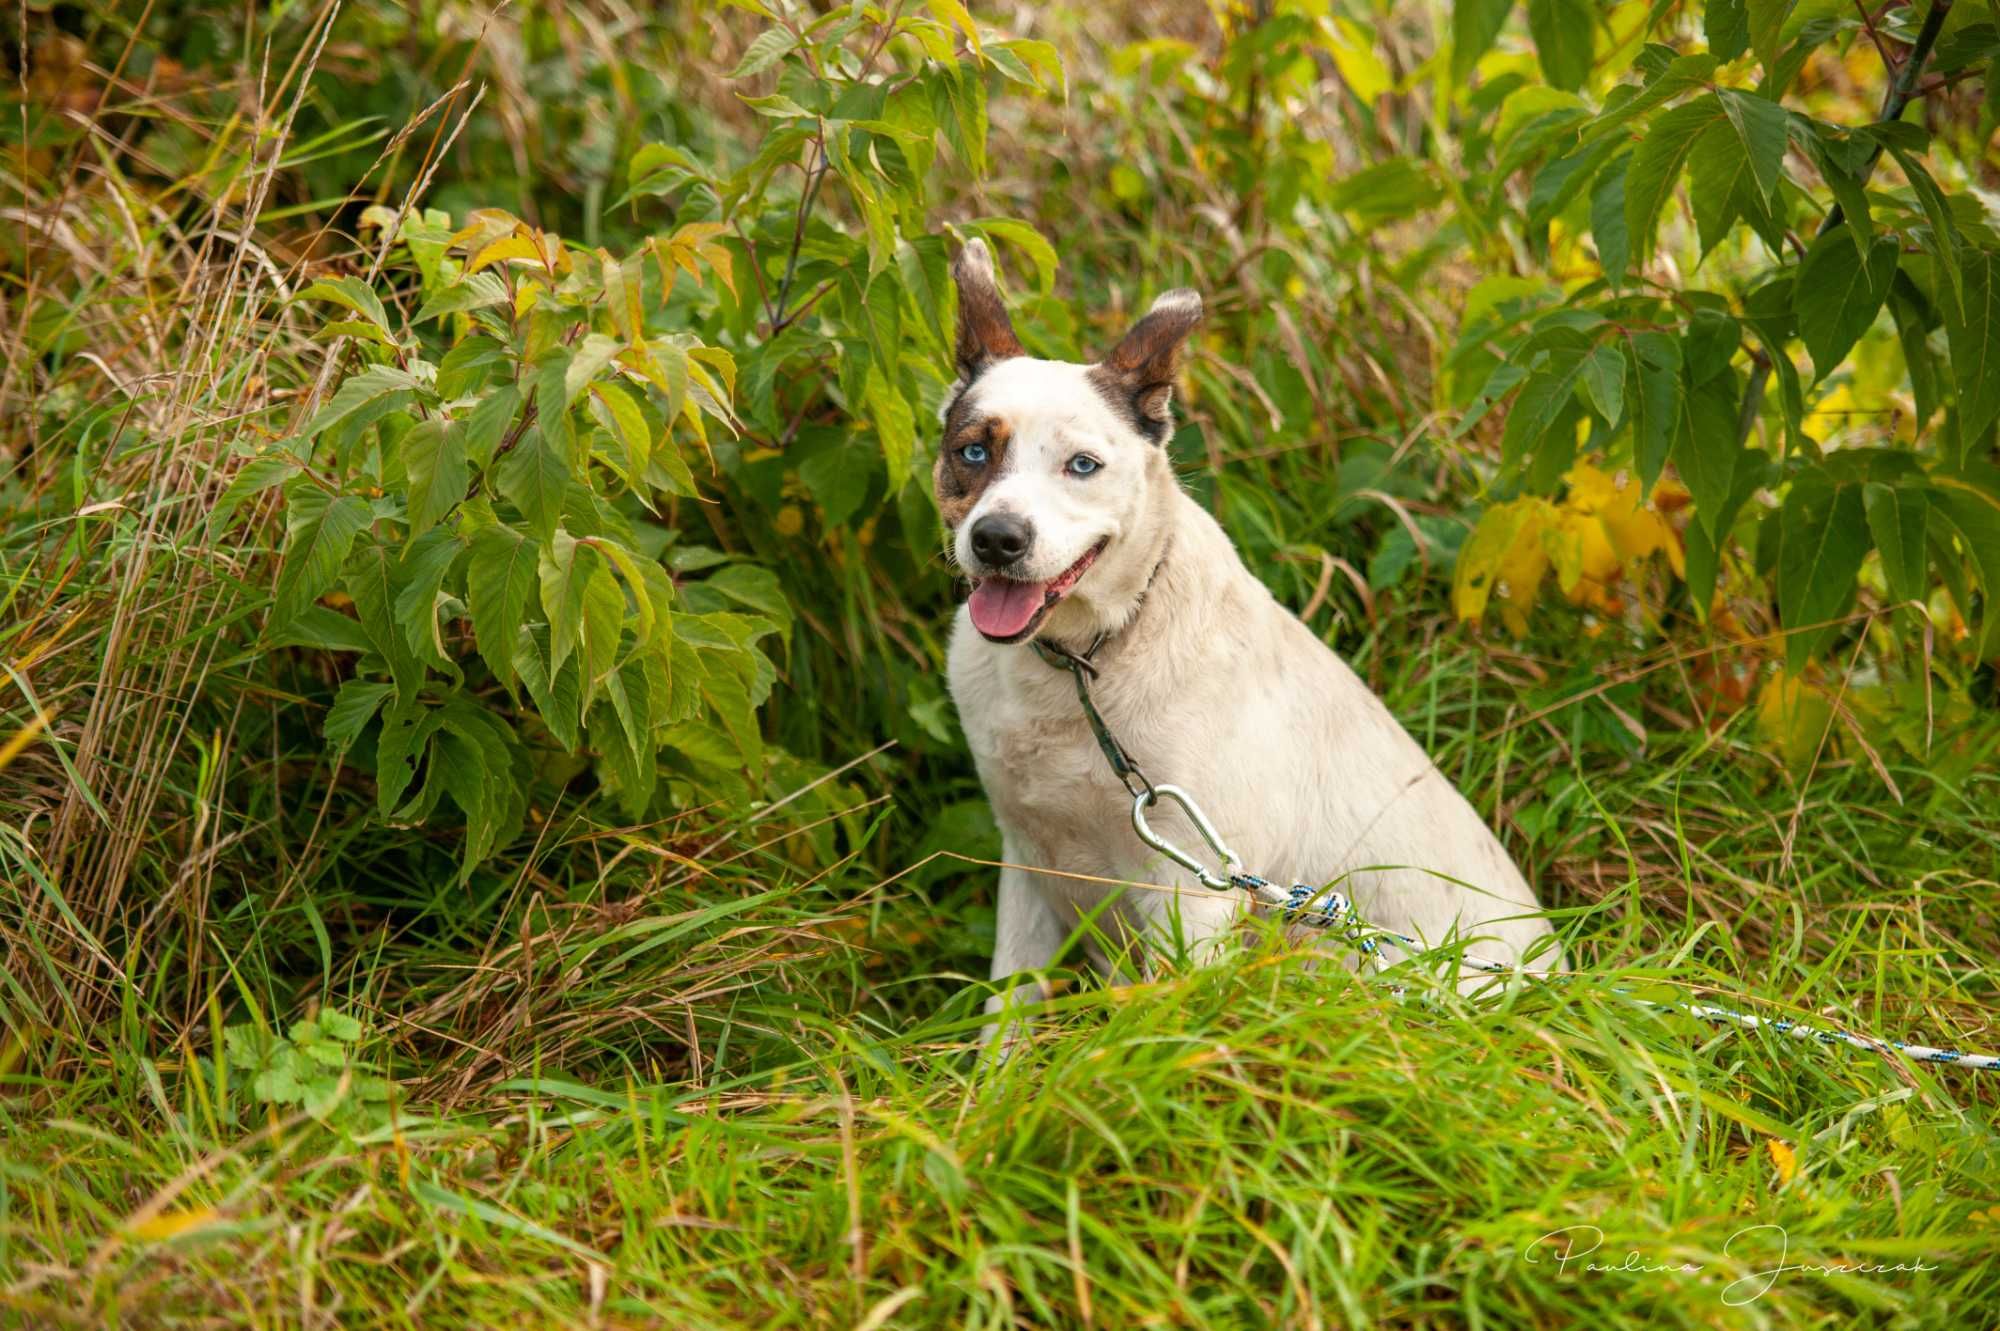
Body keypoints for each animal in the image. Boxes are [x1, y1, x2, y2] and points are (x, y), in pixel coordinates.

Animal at [936, 238, 1560, 1015]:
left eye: (1083, 465)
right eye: (973, 451)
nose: (997, 539)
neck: (1083, 665)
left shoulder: (1193, 892)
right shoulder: (1028, 866)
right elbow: (1006, 1016)